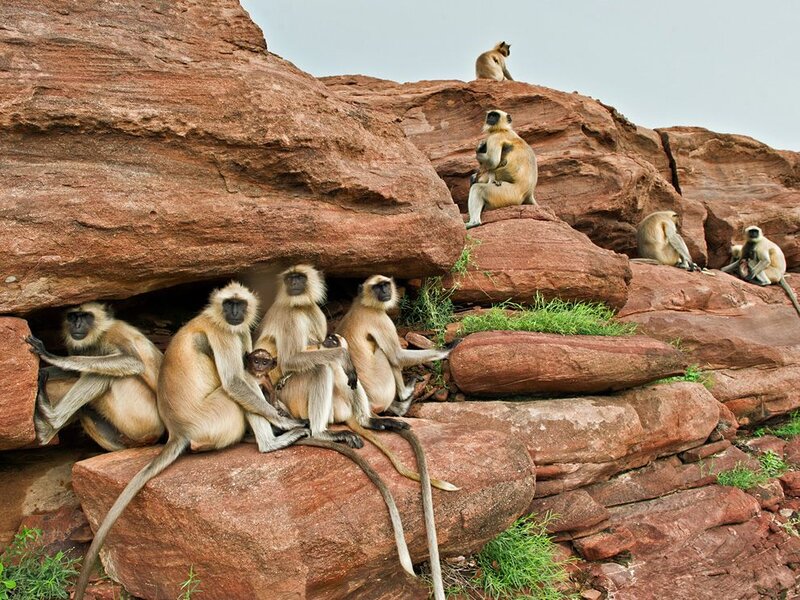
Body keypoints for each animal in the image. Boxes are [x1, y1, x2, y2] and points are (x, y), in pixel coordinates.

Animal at [26, 303, 165, 451]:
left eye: (86, 316)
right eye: (73, 316)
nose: (77, 325)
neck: (99, 334)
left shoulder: (115, 332)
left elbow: (134, 361)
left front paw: (53, 357)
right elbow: (75, 373)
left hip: (141, 417)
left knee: (103, 373)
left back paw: (52, 416)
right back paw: (43, 430)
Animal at [72, 282, 308, 600]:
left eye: (240, 304)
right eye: (229, 304)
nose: (235, 313)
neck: (218, 319)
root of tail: (178, 430)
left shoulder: (239, 332)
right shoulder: (223, 334)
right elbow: (236, 381)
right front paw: (284, 422)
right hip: (214, 418)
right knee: (239, 383)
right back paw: (271, 443)